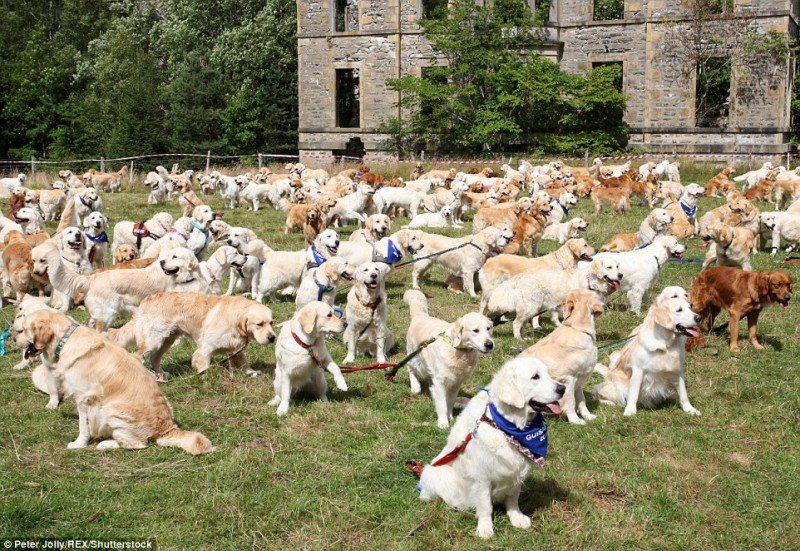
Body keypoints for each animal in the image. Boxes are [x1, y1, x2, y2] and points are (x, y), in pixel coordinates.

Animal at [406, 292, 494, 430]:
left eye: (488, 328)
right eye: (475, 330)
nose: (490, 345)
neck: (459, 351)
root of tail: (420, 315)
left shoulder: (456, 383)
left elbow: (451, 401)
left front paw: (450, 417)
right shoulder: (440, 382)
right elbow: (442, 403)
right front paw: (443, 422)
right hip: (415, 357)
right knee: (410, 368)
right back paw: (415, 386)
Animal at [416, 356, 564, 540]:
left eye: (548, 374)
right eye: (535, 377)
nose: (563, 388)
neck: (507, 427)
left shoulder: (517, 471)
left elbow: (513, 499)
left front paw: (516, 518)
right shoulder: (481, 477)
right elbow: (486, 506)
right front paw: (485, 528)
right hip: (435, 472)